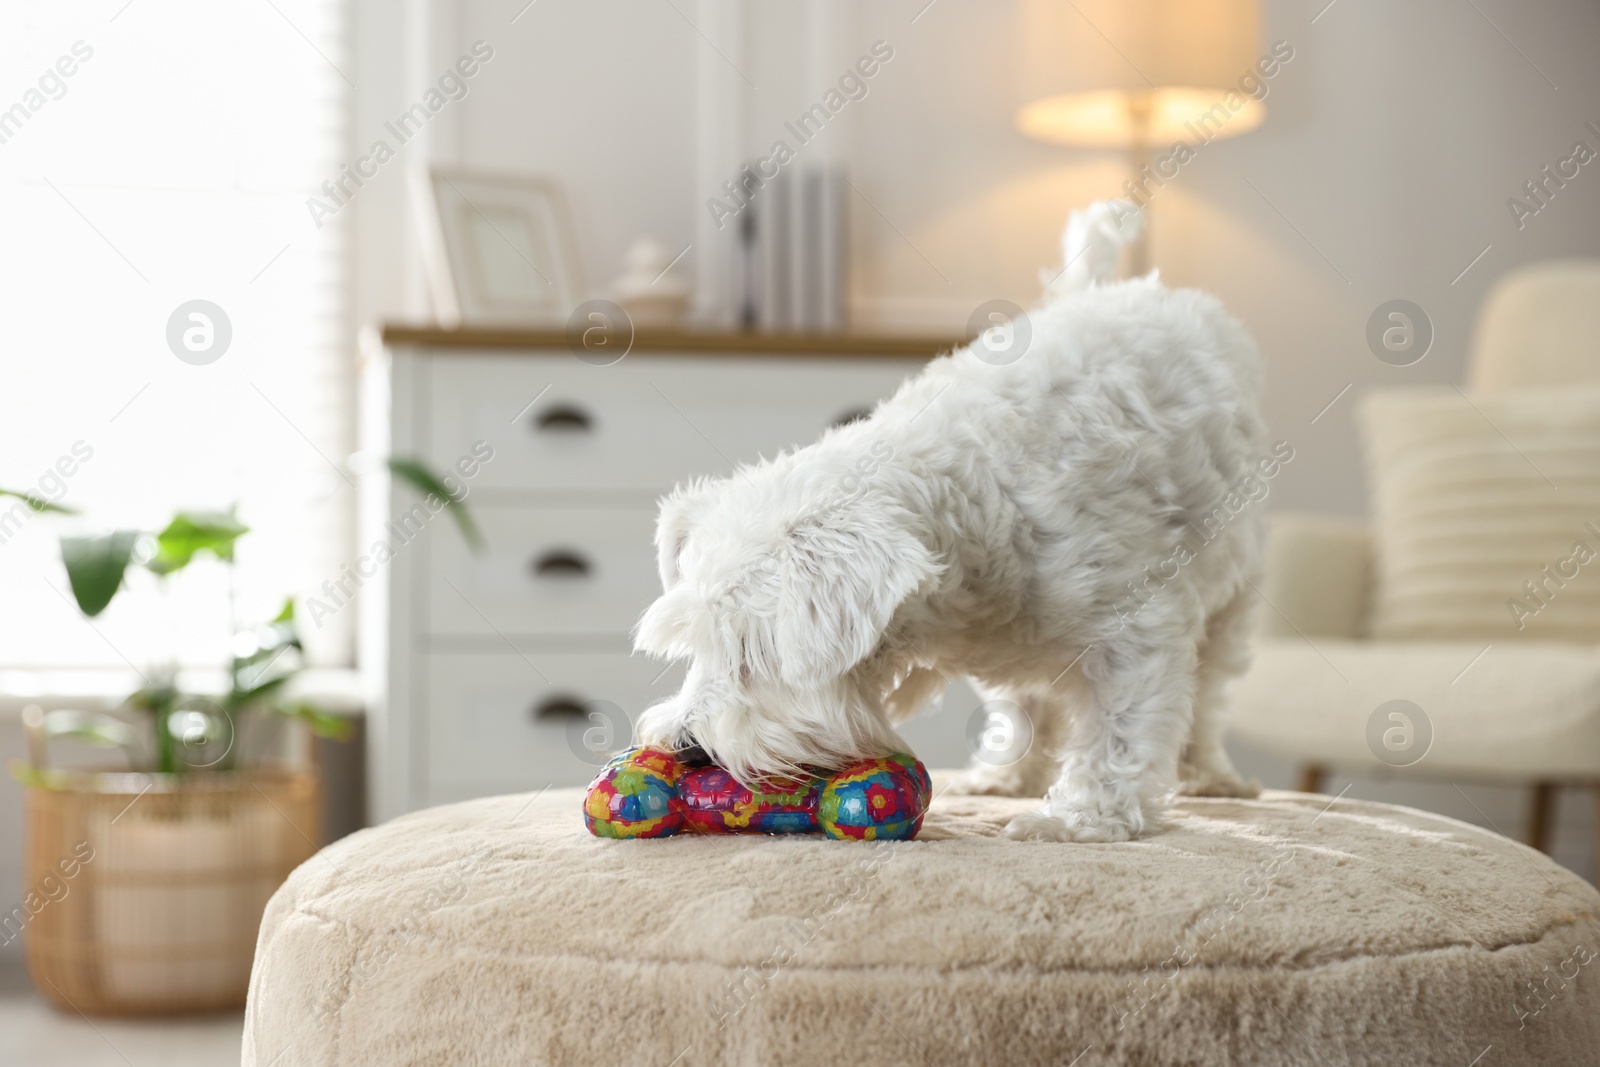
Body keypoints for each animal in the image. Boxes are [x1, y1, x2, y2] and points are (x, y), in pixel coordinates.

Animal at [630, 198, 1267, 831]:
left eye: (755, 654)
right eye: (696, 647)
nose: (688, 745)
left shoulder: (1135, 627)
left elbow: (1121, 731)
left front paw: (1081, 817)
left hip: (1233, 593)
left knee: (1209, 689)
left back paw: (1210, 775)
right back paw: (1007, 776)